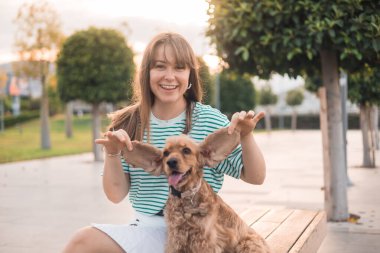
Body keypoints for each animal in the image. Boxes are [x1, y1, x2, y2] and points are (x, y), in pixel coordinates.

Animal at [121, 128, 270, 253]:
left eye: (186, 150)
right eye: (166, 153)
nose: (171, 162)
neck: (185, 196)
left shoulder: (205, 240)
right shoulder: (175, 238)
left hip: (247, 244)